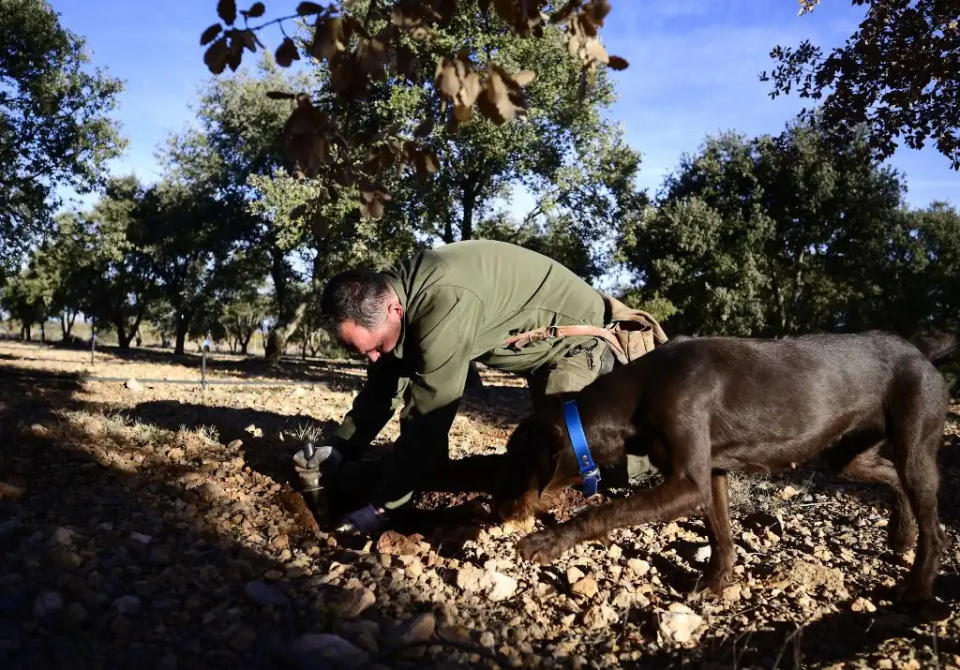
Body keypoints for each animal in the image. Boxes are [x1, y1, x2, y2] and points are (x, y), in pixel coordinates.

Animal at [498, 334, 948, 600]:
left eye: (515, 460)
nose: (501, 509)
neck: (637, 395)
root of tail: (922, 353)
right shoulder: (711, 477)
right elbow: (721, 536)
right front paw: (715, 583)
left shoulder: (687, 482)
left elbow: (602, 510)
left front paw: (548, 541)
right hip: (848, 455)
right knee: (892, 477)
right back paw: (901, 534)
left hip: (915, 447)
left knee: (934, 527)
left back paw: (917, 590)